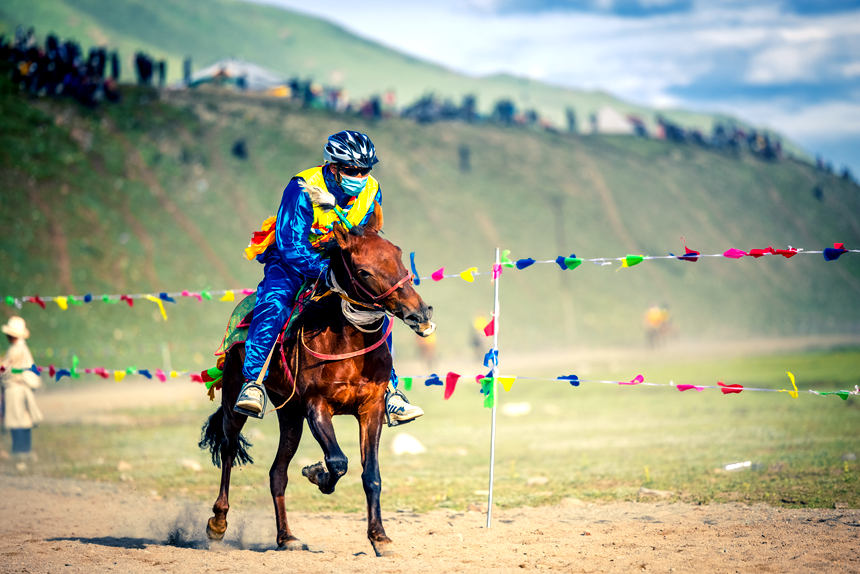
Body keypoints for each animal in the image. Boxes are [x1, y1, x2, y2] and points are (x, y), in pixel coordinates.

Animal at [199, 206, 435, 557]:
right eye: (364, 272)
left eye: (398, 255)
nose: (420, 313)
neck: (347, 344)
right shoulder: (317, 406)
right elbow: (338, 461)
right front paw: (317, 474)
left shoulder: (370, 409)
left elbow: (371, 474)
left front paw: (380, 538)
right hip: (234, 403)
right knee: (228, 450)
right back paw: (218, 523)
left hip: (290, 415)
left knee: (277, 473)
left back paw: (286, 537)